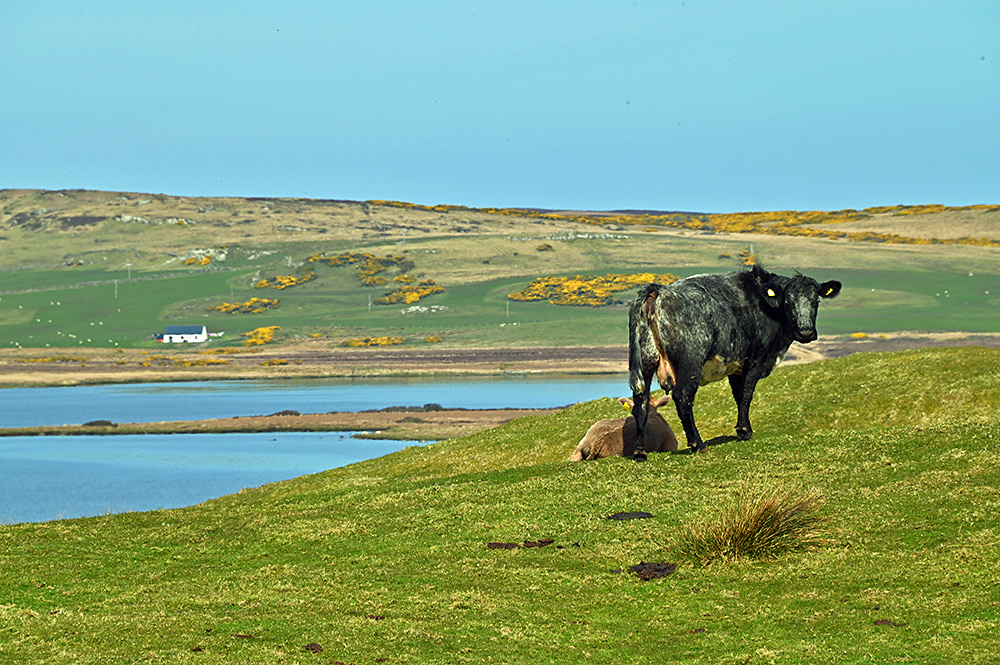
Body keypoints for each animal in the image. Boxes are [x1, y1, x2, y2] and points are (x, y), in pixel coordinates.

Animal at [628, 265, 841, 458]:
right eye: (788, 302)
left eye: (816, 301)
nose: (806, 332)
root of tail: (658, 290)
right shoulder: (757, 358)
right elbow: (746, 394)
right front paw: (744, 432)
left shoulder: (736, 366)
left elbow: (738, 395)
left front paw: (742, 429)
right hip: (691, 363)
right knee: (682, 397)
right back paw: (698, 444)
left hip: (645, 363)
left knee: (641, 403)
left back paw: (640, 450)